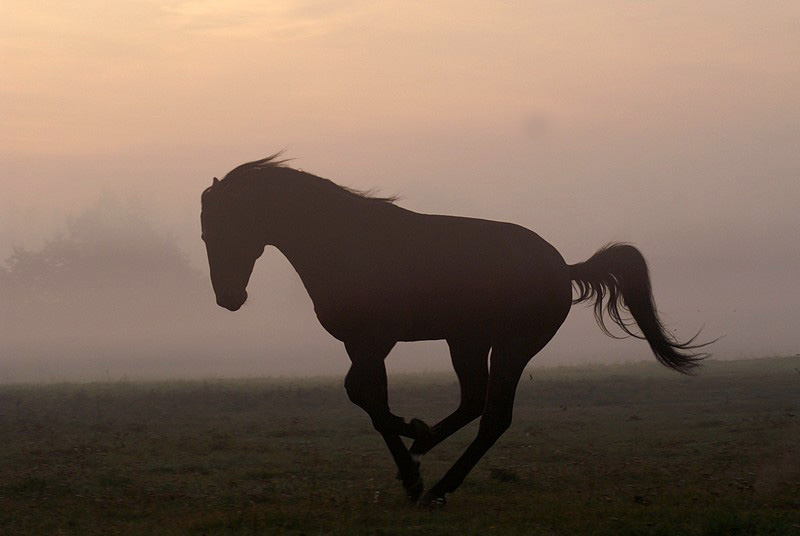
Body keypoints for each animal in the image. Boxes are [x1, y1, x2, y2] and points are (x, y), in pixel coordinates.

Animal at [198, 155, 708, 506]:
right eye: (206, 233)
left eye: (224, 228)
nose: (228, 298)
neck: (348, 243)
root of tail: (563, 268)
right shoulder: (361, 345)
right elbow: (371, 402)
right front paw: (410, 466)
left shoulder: (375, 341)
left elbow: (361, 395)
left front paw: (414, 450)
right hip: (468, 342)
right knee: (474, 402)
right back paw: (427, 459)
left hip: (512, 347)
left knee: (494, 417)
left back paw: (439, 485)